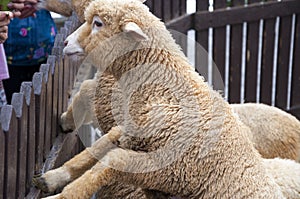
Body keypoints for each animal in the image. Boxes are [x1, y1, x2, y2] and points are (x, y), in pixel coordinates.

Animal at [34, 0, 298, 198]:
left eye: (98, 23)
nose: (65, 42)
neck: (162, 88)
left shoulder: (167, 168)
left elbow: (109, 162)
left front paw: (59, 195)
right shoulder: (129, 132)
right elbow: (92, 153)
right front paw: (51, 178)